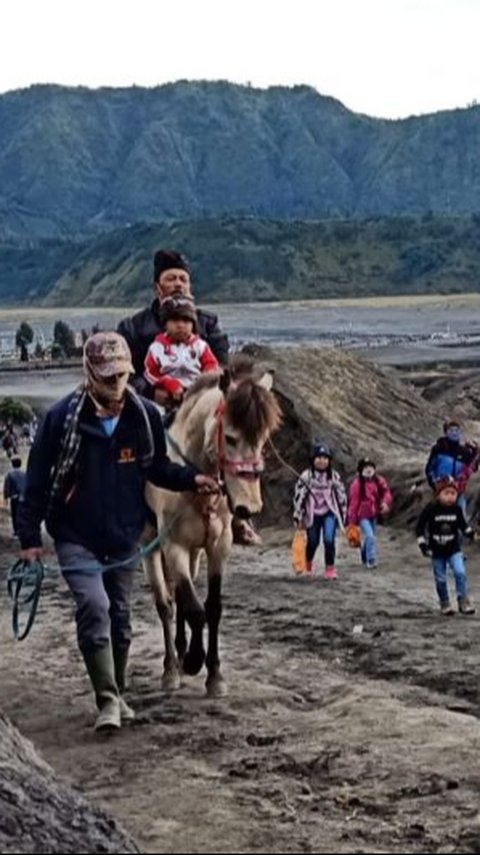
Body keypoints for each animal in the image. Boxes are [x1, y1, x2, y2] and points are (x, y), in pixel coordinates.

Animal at [142, 364, 282, 700]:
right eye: (229, 438)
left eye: (263, 440)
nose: (248, 507)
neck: (194, 482)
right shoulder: (174, 546)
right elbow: (195, 610)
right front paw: (195, 660)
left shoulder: (218, 546)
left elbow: (212, 608)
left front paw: (214, 675)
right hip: (151, 546)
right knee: (165, 604)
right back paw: (172, 668)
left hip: (194, 551)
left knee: (180, 596)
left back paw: (180, 653)